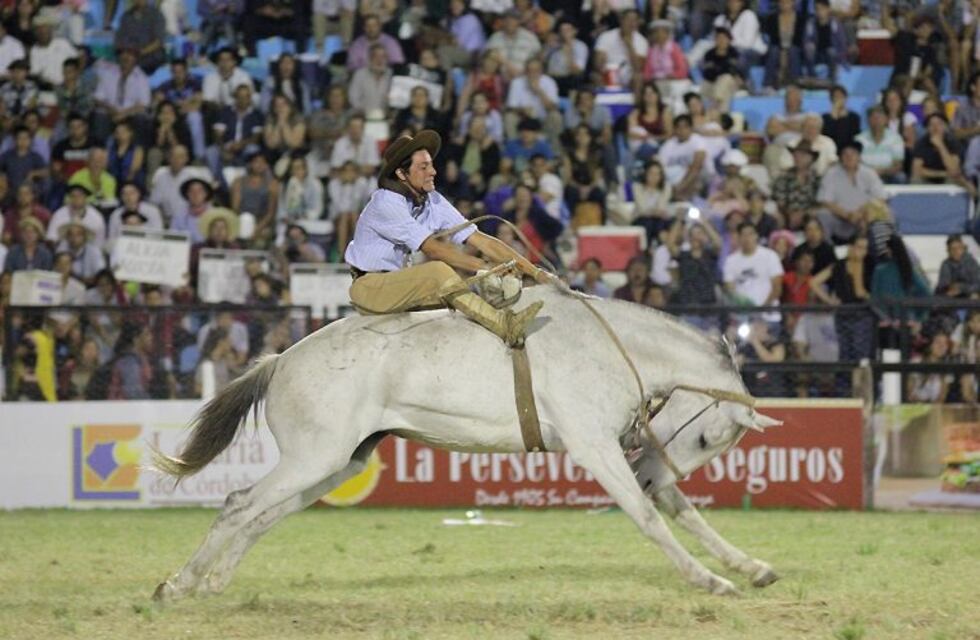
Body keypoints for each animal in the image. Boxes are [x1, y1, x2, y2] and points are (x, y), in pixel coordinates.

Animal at [152, 285, 782, 602]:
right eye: (705, 434)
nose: (653, 475)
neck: (610, 346)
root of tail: (281, 359)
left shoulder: (632, 451)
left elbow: (684, 514)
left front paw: (750, 567)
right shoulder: (596, 447)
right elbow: (649, 519)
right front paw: (709, 580)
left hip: (338, 463)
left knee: (260, 516)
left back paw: (214, 581)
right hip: (314, 458)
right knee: (239, 505)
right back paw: (178, 584)